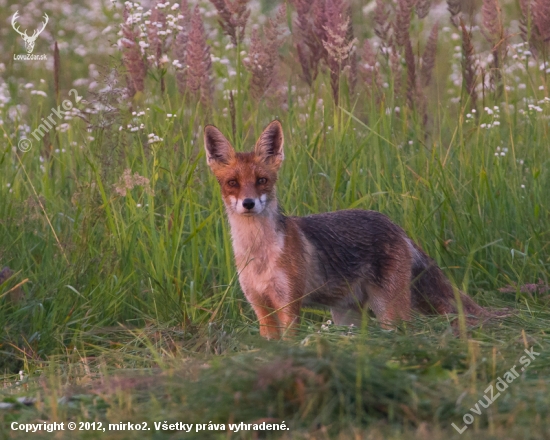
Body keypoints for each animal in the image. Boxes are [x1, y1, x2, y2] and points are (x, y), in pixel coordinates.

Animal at [205, 120, 494, 340]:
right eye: (232, 183)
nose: (248, 203)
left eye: (262, 181)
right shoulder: (260, 306)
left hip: (389, 310)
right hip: (347, 315)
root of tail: (395, 225)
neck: (259, 254)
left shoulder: (289, 304)